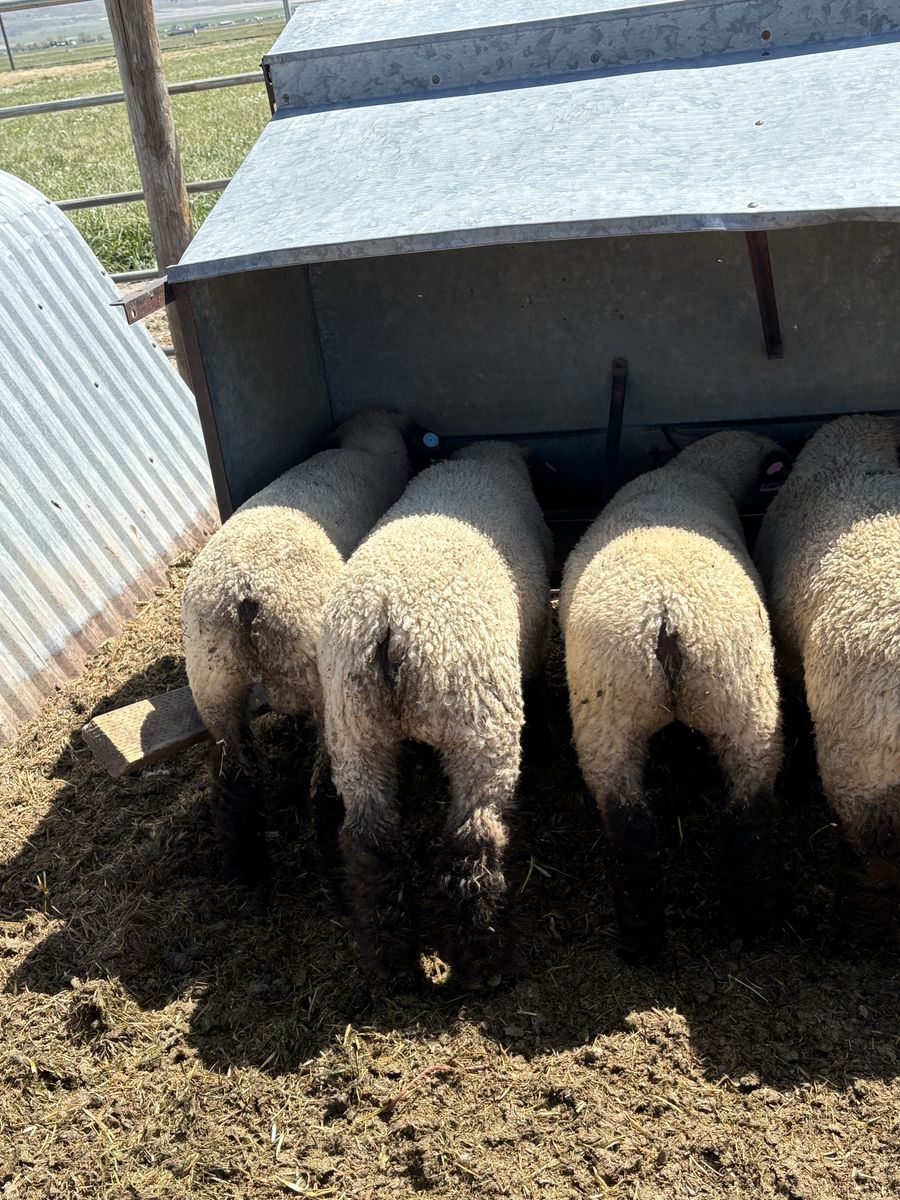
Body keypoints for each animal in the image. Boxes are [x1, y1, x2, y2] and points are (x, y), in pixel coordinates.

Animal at [182, 409, 411, 882]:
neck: (365, 449)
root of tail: (243, 595)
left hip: (213, 680)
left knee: (233, 778)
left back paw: (245, 870)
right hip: (321, 686)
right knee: (324, 784)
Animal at [317, 441, 553, 987]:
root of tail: (388, 624)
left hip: (354, 731)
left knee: (369, 841)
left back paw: (389, 959)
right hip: (481, 728)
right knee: (474, 840)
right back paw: (485, 960)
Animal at [558, 431, 785, 961]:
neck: (696, 472)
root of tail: (668, 615)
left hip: (615, 714)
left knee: (634, 826)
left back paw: (643, 940)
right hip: (741, 705)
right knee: (748, 815)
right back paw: (755, 925)